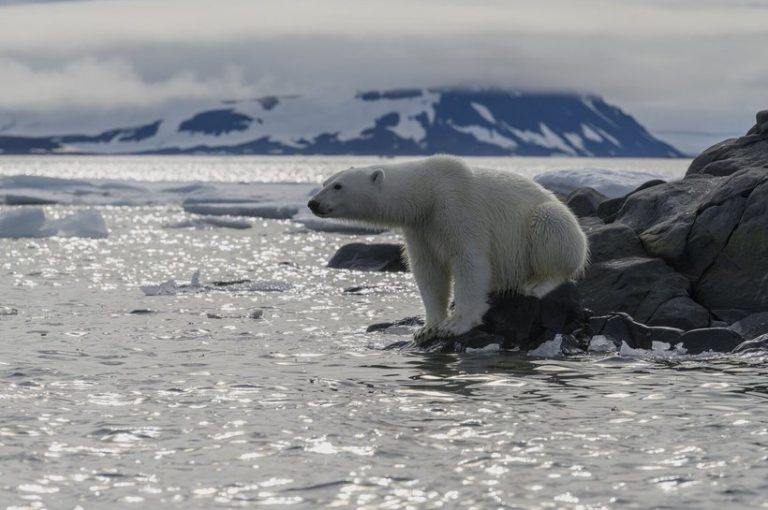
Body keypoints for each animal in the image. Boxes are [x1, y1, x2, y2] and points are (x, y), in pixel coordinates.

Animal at [308, 155, 588, 342]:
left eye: (338, 186)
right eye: (325, 181)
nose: (313, 203)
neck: (427, 192)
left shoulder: (457, 208)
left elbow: (470, 261)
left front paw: (455, 325)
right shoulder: (421, 228)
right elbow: (428, 271)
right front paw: (426, 328)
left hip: (548, 223)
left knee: (550, 226)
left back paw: (537, 284)